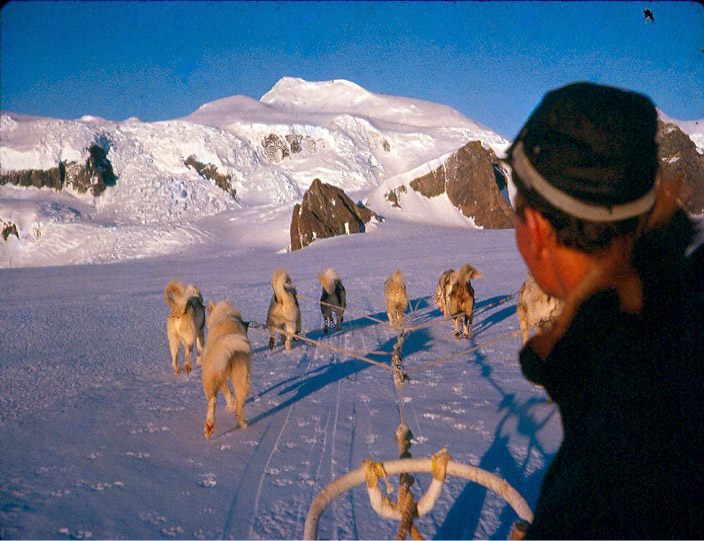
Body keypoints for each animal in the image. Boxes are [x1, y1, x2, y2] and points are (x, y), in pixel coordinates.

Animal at [202, 300, 252, 438]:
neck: (226, 316)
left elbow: (226, 391)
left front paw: (230, 403)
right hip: (242, 379)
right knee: (238, 409)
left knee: (211, 401)